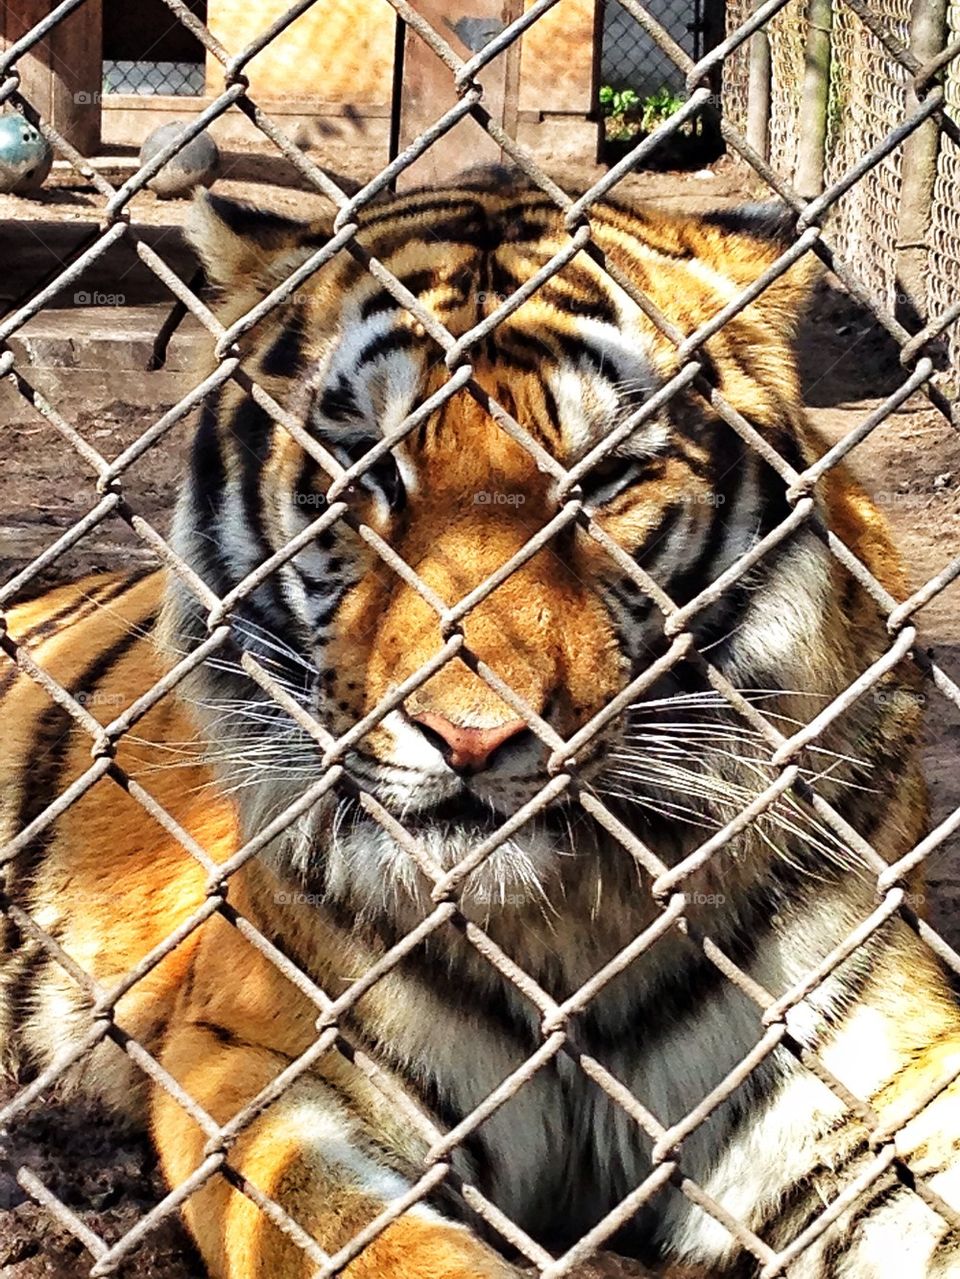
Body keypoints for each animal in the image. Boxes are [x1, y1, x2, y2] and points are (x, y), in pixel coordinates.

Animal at [2, 170, 959, 1279]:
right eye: (362, 473)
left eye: (602, 481)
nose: (468, 738)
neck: (565, 935)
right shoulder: (269, 1063)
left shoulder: (880, 1077)